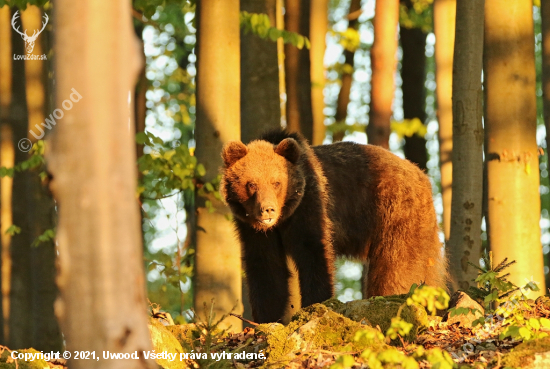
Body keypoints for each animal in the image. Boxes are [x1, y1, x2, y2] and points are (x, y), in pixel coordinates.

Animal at [220, 129, 448, 322]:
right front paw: (266, 318)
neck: (283, 219)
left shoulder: (310, 207)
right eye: (252, 183)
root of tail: (422, 175)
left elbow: (314, 254)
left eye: (276, 182)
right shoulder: (253, 231)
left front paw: (315, 304)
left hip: (396, 214)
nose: (267, 210)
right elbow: (266, 267)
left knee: (396, 265)